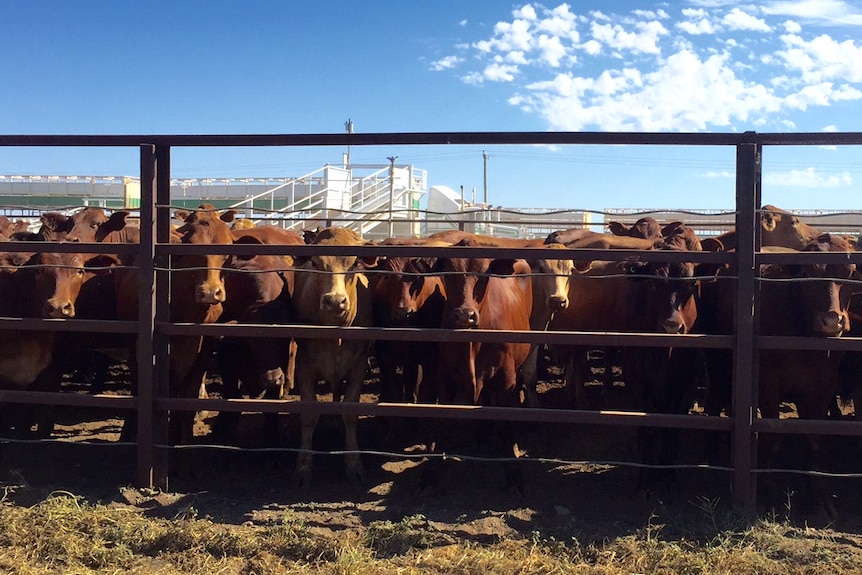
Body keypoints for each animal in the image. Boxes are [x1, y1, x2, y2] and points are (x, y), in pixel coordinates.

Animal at [290, 227, 378, 488]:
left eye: (355, 263)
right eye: (316, 262)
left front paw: (354, 465)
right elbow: (309, 414)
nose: (335, 301)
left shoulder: (359, 365)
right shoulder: (304, 365)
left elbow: (349, 411)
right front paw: (303, 467)